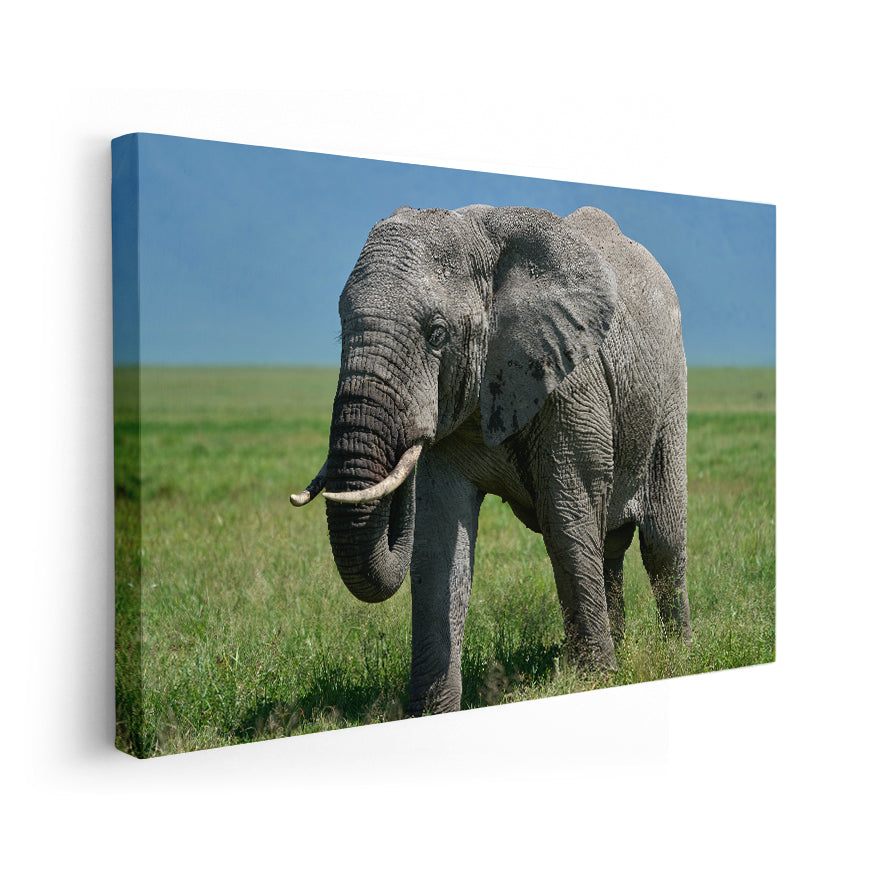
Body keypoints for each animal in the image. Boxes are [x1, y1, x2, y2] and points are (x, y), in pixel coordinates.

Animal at [291, 204, 690, 715]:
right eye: (341, 330)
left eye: (437, 334)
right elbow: (439, 541)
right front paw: (431, 711)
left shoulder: (571, 382)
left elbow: (566, 519)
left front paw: (594, 682)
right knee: (609, 543)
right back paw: (622, 645)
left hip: (669, 390)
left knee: (661, 540)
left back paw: (679, 653)